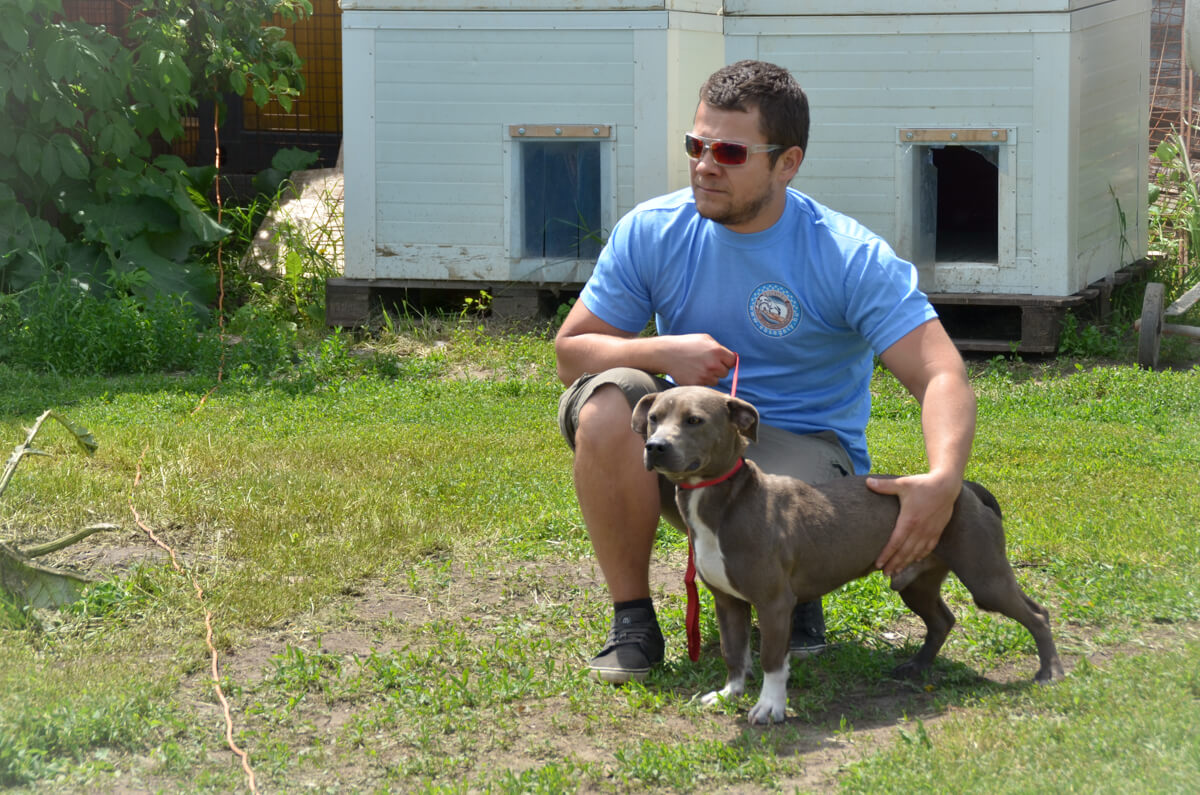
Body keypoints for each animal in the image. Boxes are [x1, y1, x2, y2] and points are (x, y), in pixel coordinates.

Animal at [631, 386, 1064, 724]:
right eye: (653, 418)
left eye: (694, 420)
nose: (655, 447)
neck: (726, 501)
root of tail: (966, 487)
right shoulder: (728, 602)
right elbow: (734, 654)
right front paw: (729, 694)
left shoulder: (773, 603)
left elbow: (772, 659)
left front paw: (770, 707)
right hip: (917, 581)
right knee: (943, 619)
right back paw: (917, 666)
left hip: (984, 576)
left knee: (1037, 614)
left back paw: (1050, 672)